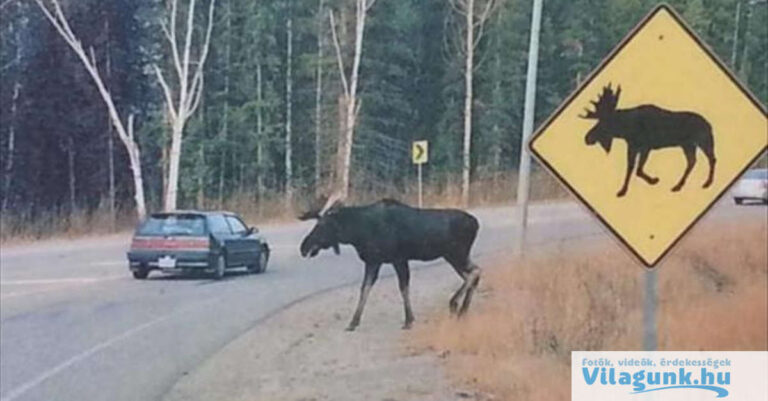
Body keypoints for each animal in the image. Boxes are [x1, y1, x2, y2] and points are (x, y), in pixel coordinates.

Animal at [298, 193, 480, 328]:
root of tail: (476, 223)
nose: (303, 247)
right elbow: (365, 289)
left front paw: (408, 320)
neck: (358, 232)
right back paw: (463, 310)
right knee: (473, 273)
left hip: (456, 254)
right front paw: (353, 322)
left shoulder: (398, 259)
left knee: (474, 272)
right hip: (453, 256)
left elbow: (403, 287)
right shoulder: (373, 261)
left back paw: (454, 304)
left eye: (322, 225)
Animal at [584, 84, 712, 197]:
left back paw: (707, 183)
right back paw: (678, 186)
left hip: (704, 142)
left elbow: (638, 170)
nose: (587, 138)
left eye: (603, 122)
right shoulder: (633, 146)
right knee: (692, 161)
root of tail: (708, 124)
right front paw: (622, 191)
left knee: (711, 159)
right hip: (688, 145)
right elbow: (631, 168)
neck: (627, 128)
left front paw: (653, 180)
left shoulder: (645, 147)